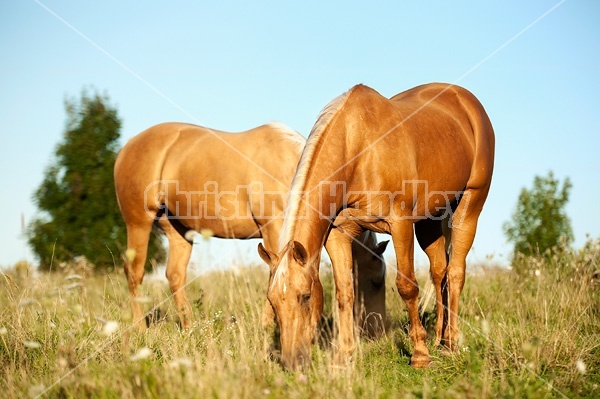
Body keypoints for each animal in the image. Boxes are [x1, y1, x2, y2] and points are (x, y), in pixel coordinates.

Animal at [112, 122, 386, 332]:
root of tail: (127, 148)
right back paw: (140, 328)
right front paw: (268, 327)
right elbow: (274, 274)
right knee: (134, 273)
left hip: (178, 232)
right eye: (376, 282)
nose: (377, 330)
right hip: (138, 224)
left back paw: (190, 327)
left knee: (175, 275)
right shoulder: (273, 230)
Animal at [260, 83, 494, 370]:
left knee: (456, 273)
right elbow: (345, 293)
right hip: (429, 220)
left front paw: (420, 354)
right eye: (273, 302)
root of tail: (466, 101)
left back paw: (450, 344)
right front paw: (343, 356)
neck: (358, 148)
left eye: (305, 296)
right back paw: (439, 339)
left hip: (469, 208)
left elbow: (407, 286)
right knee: (440, 271)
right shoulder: (338, 235)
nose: (293, 364)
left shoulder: (400, 224)